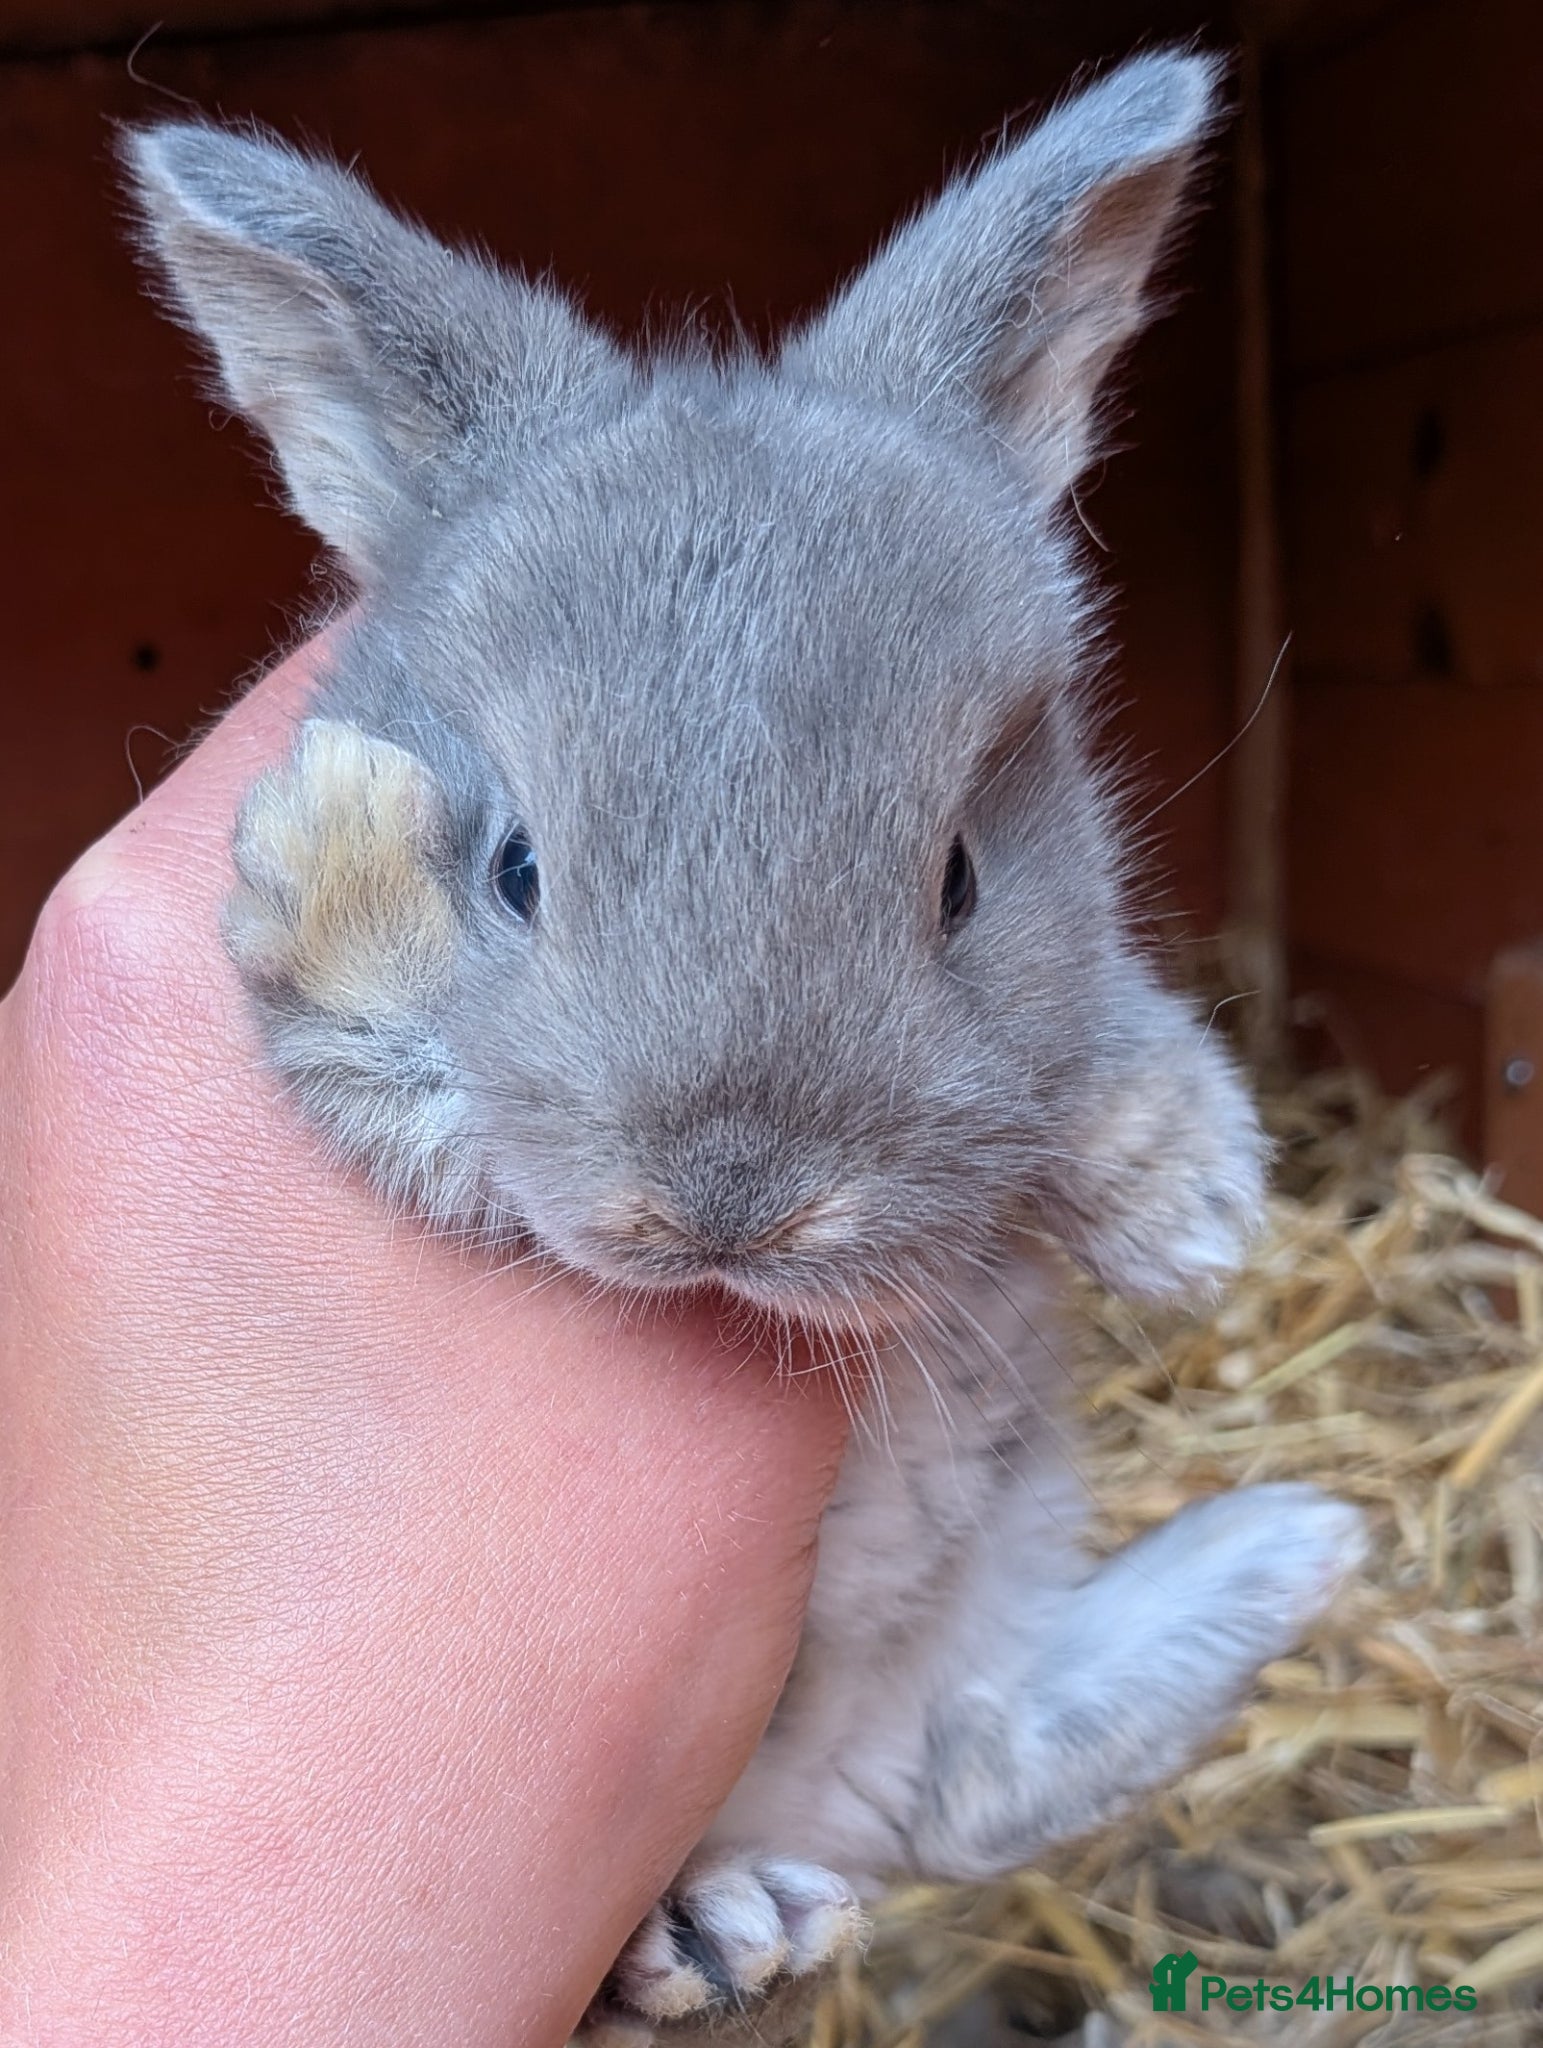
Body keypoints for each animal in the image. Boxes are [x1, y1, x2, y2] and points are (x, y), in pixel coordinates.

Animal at [125, 48, 1366, 2046]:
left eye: (957, 878)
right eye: (516, 869)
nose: (729, 1204)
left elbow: (1099, 1041)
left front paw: (1189, 1211)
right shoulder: (329, 1044)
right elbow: (382, 1047)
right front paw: (338, 844)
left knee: (970, 1772)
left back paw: (1288, 1544)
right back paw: (712, 1932)